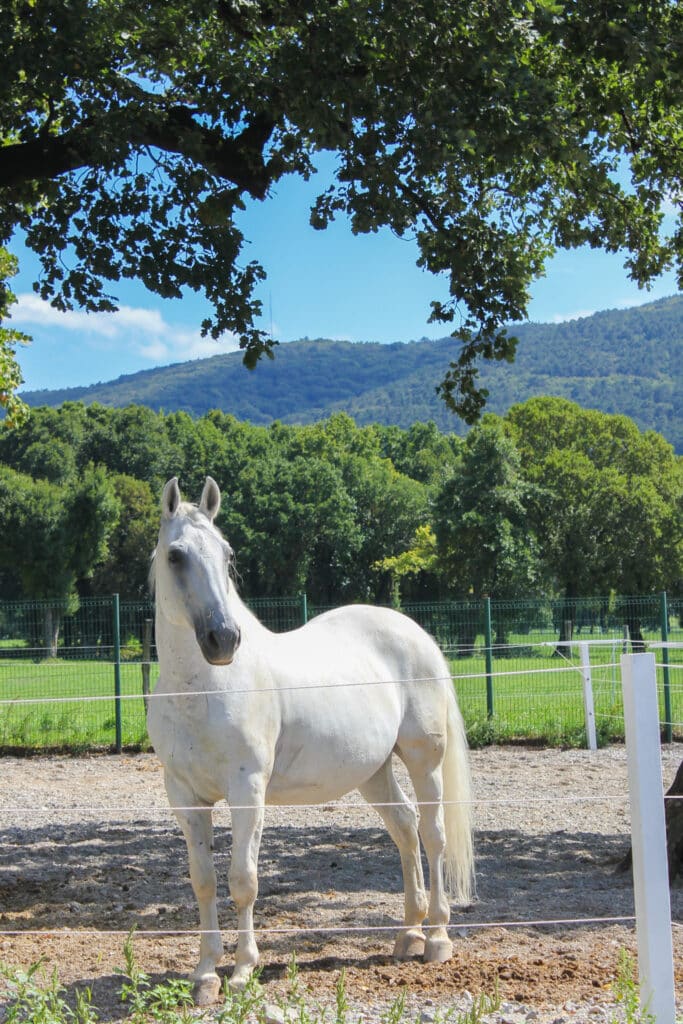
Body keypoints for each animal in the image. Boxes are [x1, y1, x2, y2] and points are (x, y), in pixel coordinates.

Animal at [147, 476, 474, 1004]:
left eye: (226, 552)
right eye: (176, 555)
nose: (224, 639)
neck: (201, 689)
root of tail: (416, 633)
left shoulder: (248, 792)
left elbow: (243, 880)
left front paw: (243, 971)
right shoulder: (185, 797)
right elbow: (204, 882)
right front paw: (205, 976)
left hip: (424, 761)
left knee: (432, 834)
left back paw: (438, 938)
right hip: (373, 772)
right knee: (405, 830)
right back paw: (408, 934)